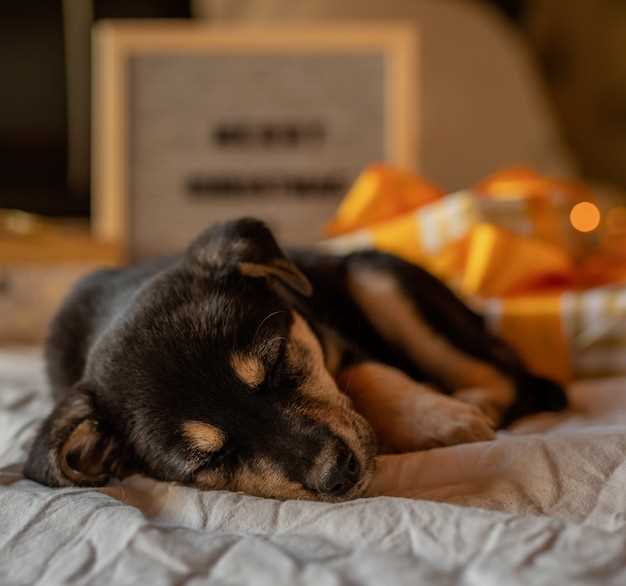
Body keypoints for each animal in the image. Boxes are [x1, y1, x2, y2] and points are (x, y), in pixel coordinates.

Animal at [23, 217, 564, 500]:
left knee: (506, 374)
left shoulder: (335, 337)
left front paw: (438, 420)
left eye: (279, 361)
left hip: (375, 276)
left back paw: (469, 404)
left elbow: (368, 375)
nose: (338, 475)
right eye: (211, 458)